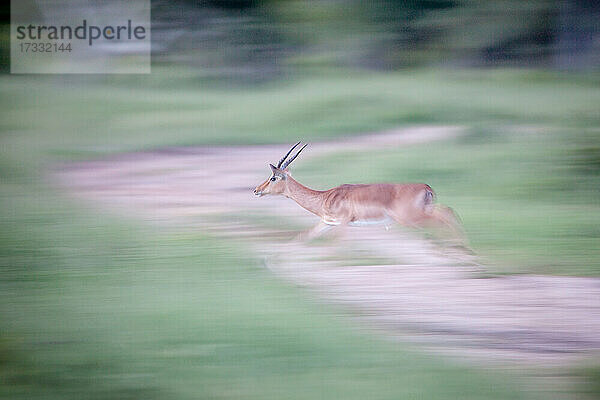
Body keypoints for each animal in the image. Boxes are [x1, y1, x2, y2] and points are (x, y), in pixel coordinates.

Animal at [253, 141, 464, 241]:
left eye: (273, 178)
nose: (256, 190)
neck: (323, 197)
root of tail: (425, 186)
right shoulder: (326, 223)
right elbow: (302, 238)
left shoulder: (343, 223)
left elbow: (336, 247)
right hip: (423, 211)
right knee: (448, 211)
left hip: (410, 217)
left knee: (445, 216)